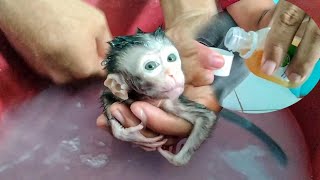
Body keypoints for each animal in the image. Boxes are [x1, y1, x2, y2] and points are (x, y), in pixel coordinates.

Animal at [100, 27, 218, 167]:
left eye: (171, 58)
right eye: (150, 66)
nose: (172, 73)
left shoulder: (169, 101)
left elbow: (206, 117)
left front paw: (174, 158)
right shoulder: (122, 95)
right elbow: (106, 95)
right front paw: (128, 135)